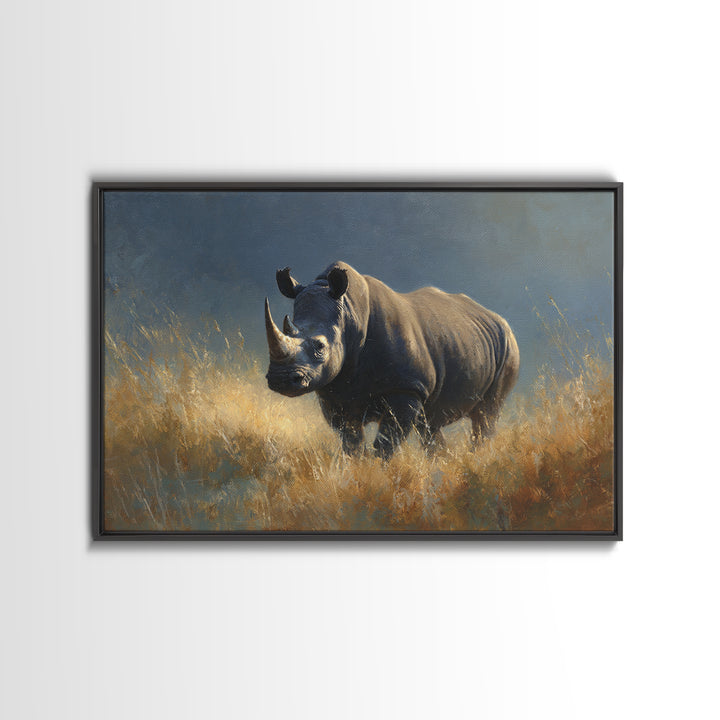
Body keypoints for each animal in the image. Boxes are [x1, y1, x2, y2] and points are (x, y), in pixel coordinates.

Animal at [264, 261, 519, 459]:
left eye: (320, 347)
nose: (280, 379)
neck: (349, 315)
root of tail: (497, 318)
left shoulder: (407, 388)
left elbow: (385, 443)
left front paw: (378, 474)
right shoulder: (334, 393)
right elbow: (351, 442)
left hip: (508, 347)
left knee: (486, 415)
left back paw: (477, 459)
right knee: (429, 424)